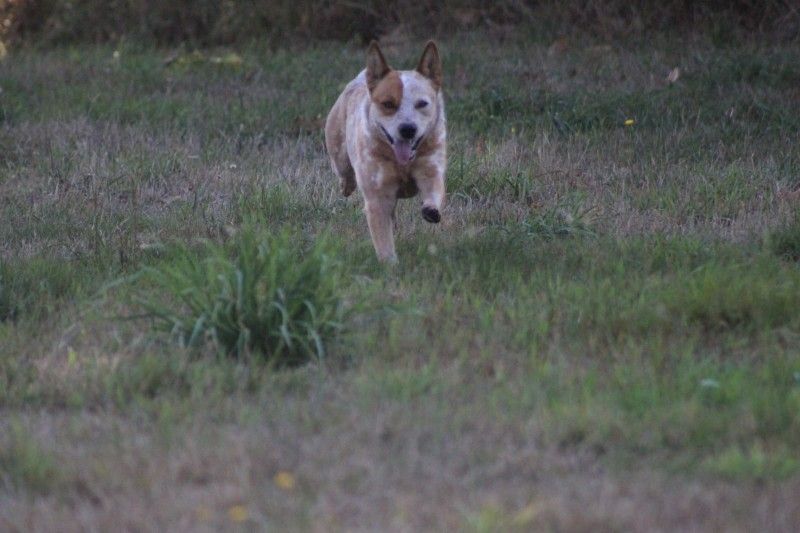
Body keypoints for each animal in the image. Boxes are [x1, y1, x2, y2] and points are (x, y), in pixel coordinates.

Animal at [326, 40, 450, 262]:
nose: (408, 129)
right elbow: (383, 239)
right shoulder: (377, 196)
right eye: (388, 104)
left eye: (422, 103)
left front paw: (431, 210)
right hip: (337, 146)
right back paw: (347, 185)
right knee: (343, 171)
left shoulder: (430, 168)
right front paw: (389, 264)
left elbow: (433, 188)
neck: (402, 164)